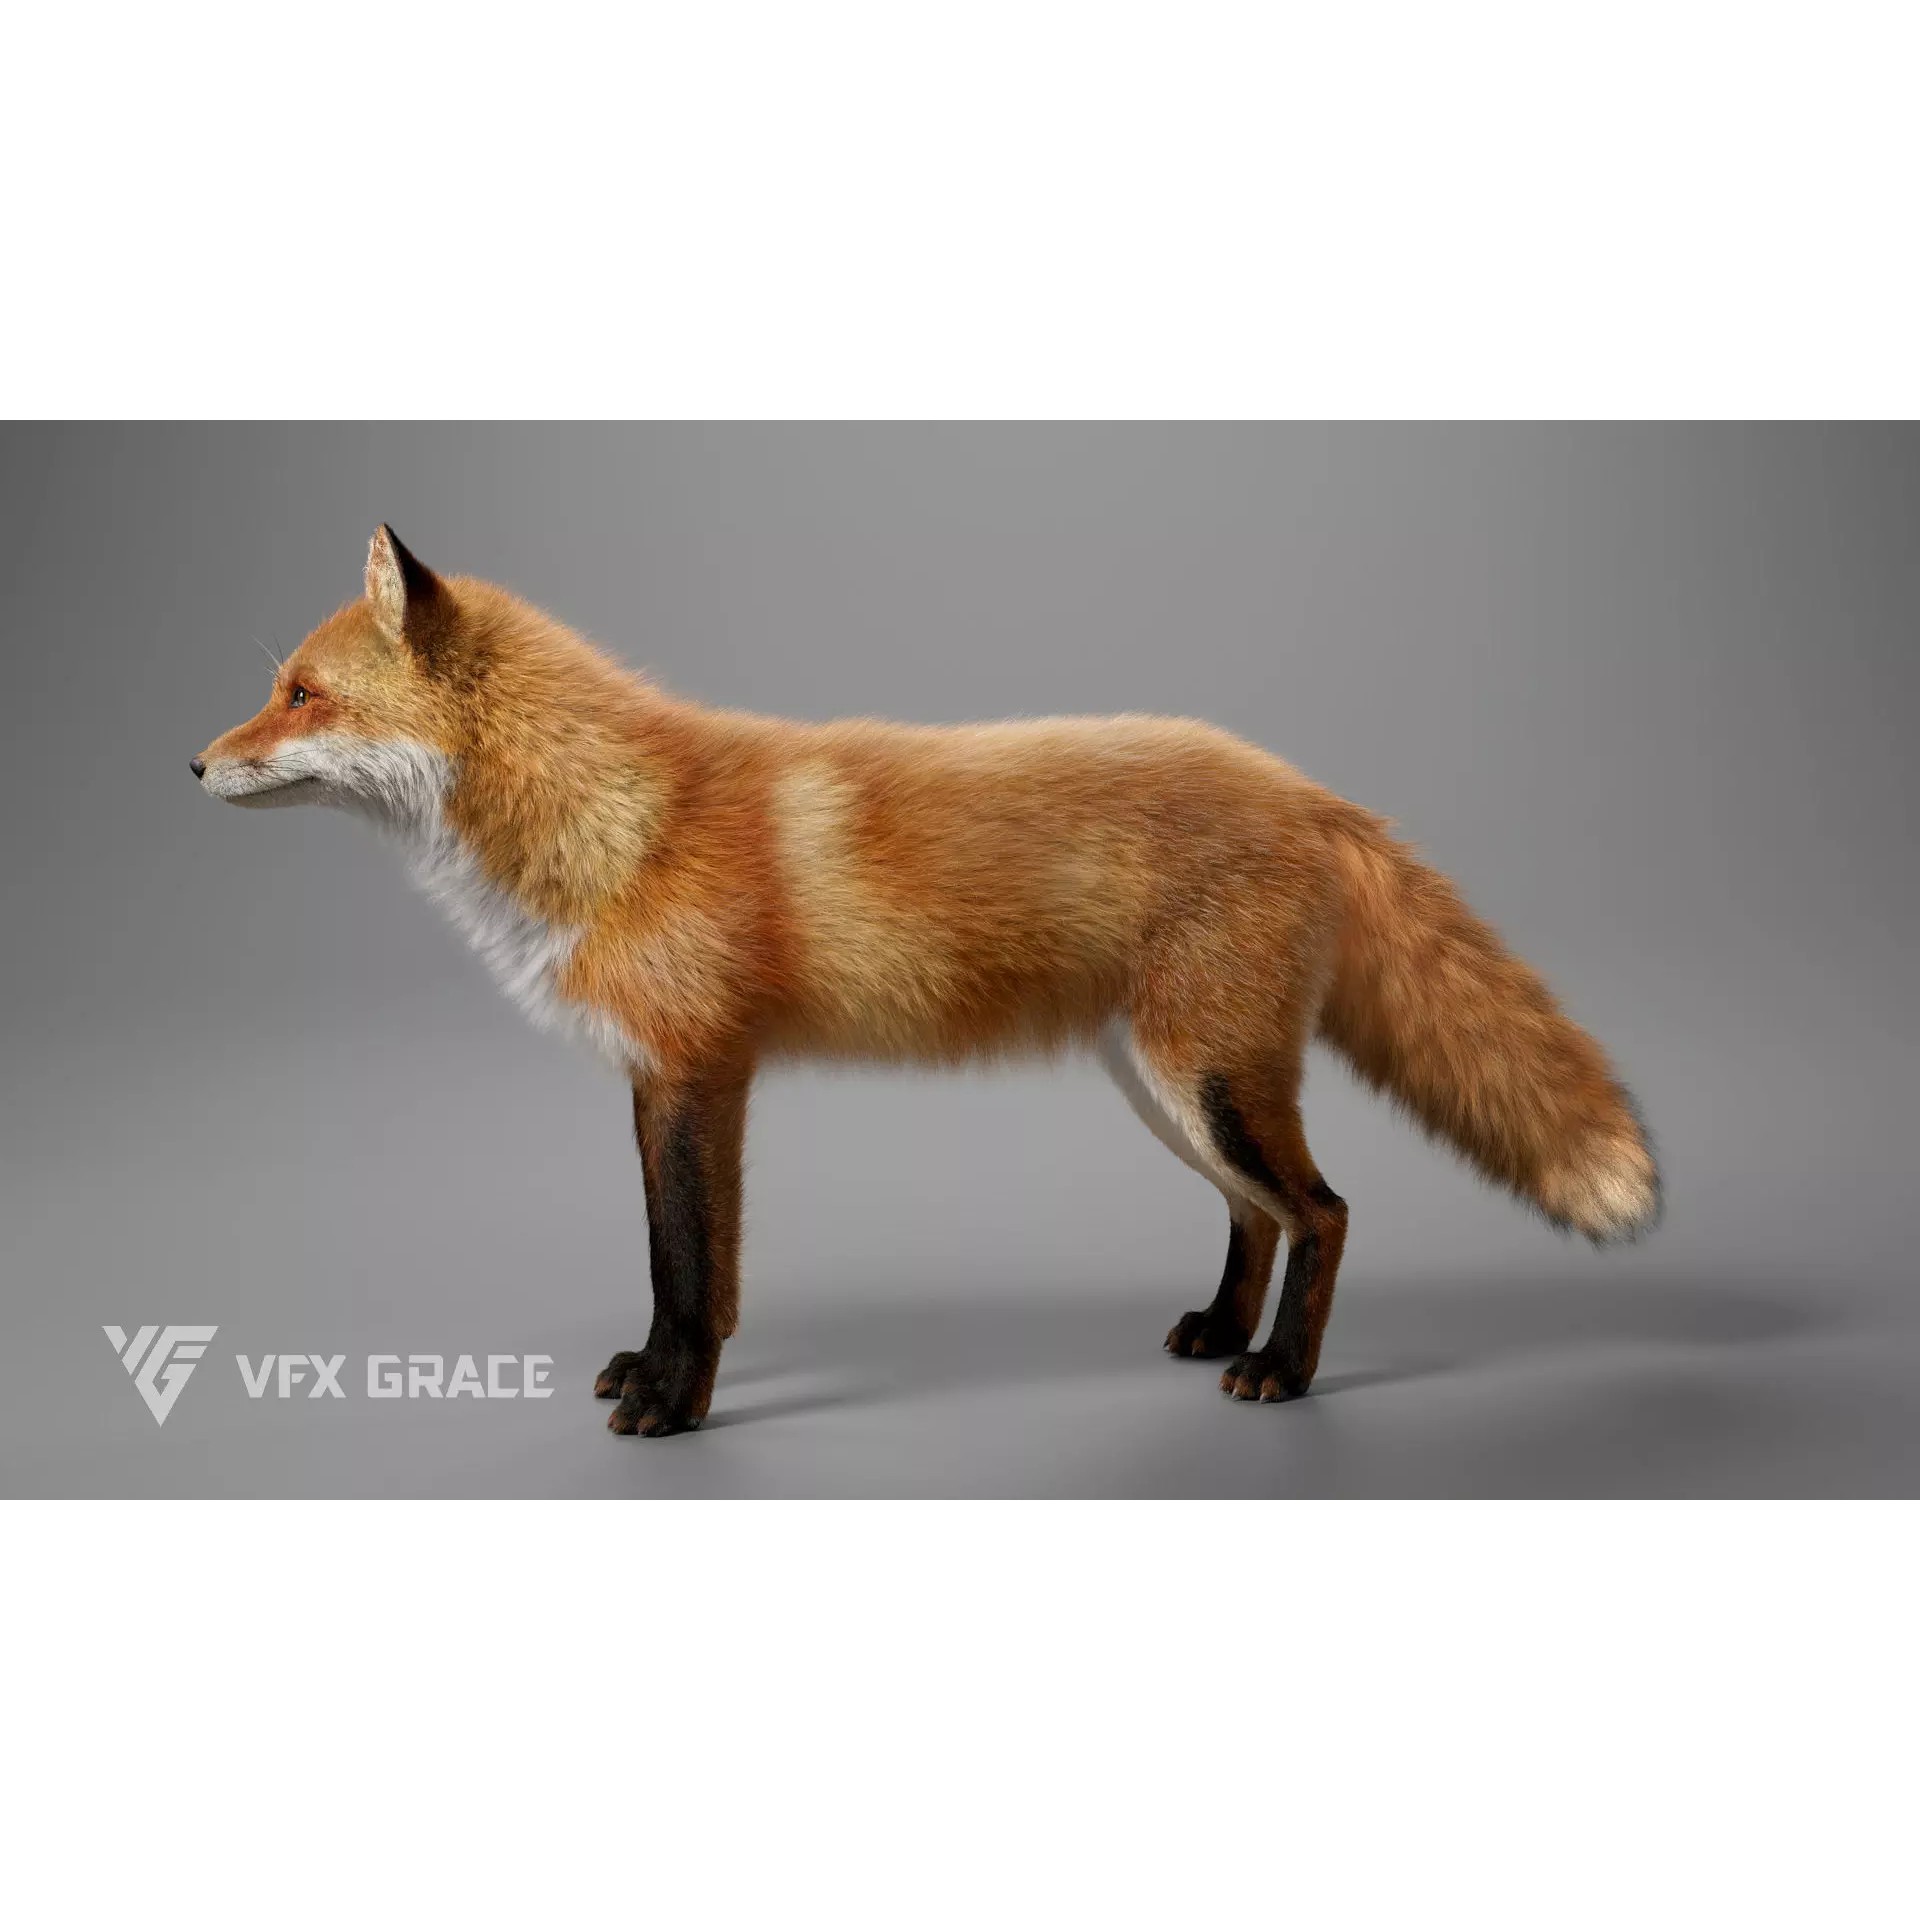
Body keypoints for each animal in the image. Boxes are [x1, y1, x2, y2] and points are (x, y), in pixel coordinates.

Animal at [194, 527, 1661, 1436]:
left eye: (301, 694)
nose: (191, 765)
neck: (615, 820)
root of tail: (1306, 786)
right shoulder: (656, 1076)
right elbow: (674, 1264)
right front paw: (652, 1375)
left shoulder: (701, 1075)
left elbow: (695, 1271)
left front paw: (674, 1406)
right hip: (1169, 1088)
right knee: (1261, 1216)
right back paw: (1217, 1330)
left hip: (1209, 1080)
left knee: (1330, 1211)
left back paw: (1284, 1373)